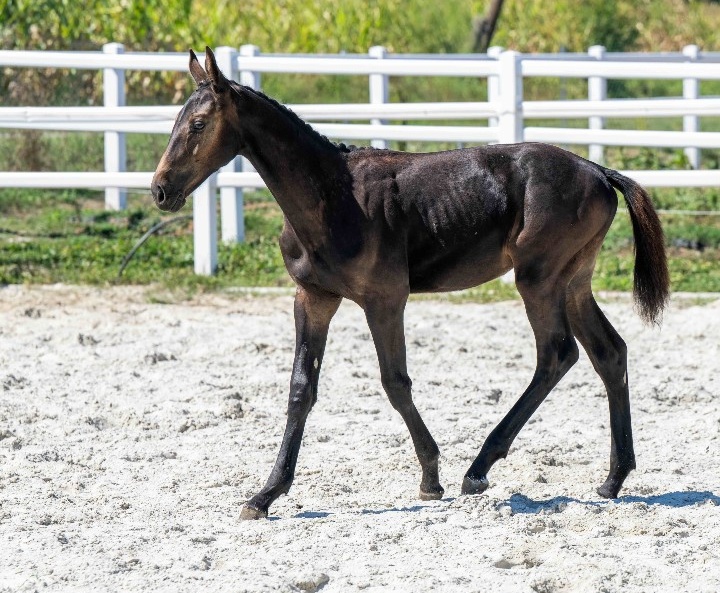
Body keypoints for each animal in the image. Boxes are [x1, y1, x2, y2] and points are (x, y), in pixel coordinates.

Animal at [151, 47, 669, 520]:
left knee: (557, 355)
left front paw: (431, 477)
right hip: (573, 281)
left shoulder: (384, 300)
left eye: (198, 124)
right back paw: (613, 478)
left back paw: (479, 469)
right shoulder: (314, 298)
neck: (332, 198)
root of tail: (599, 171)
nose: (159, 190)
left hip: (539, 280)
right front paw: (265, 494)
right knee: (608, 352)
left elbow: (395, 382)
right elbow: (301, 388)